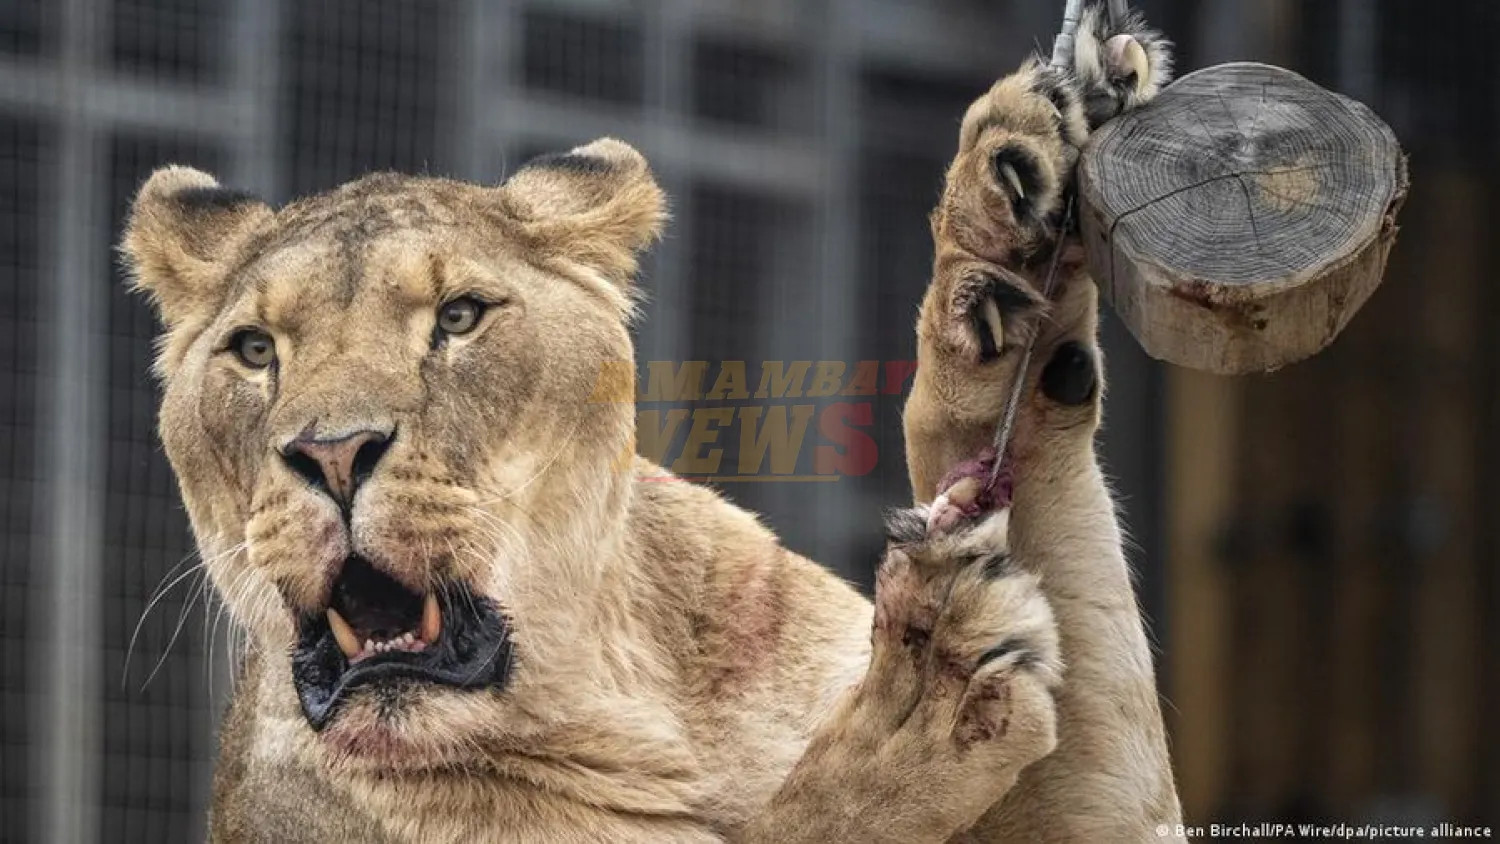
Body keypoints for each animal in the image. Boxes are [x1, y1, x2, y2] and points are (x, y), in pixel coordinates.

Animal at [121, 6, 1181, 841]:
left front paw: (1007, 235)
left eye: (458, 317)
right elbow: (810, 819)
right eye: (255, 350)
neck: (618, 679)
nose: (333, 454)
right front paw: (921, 693)